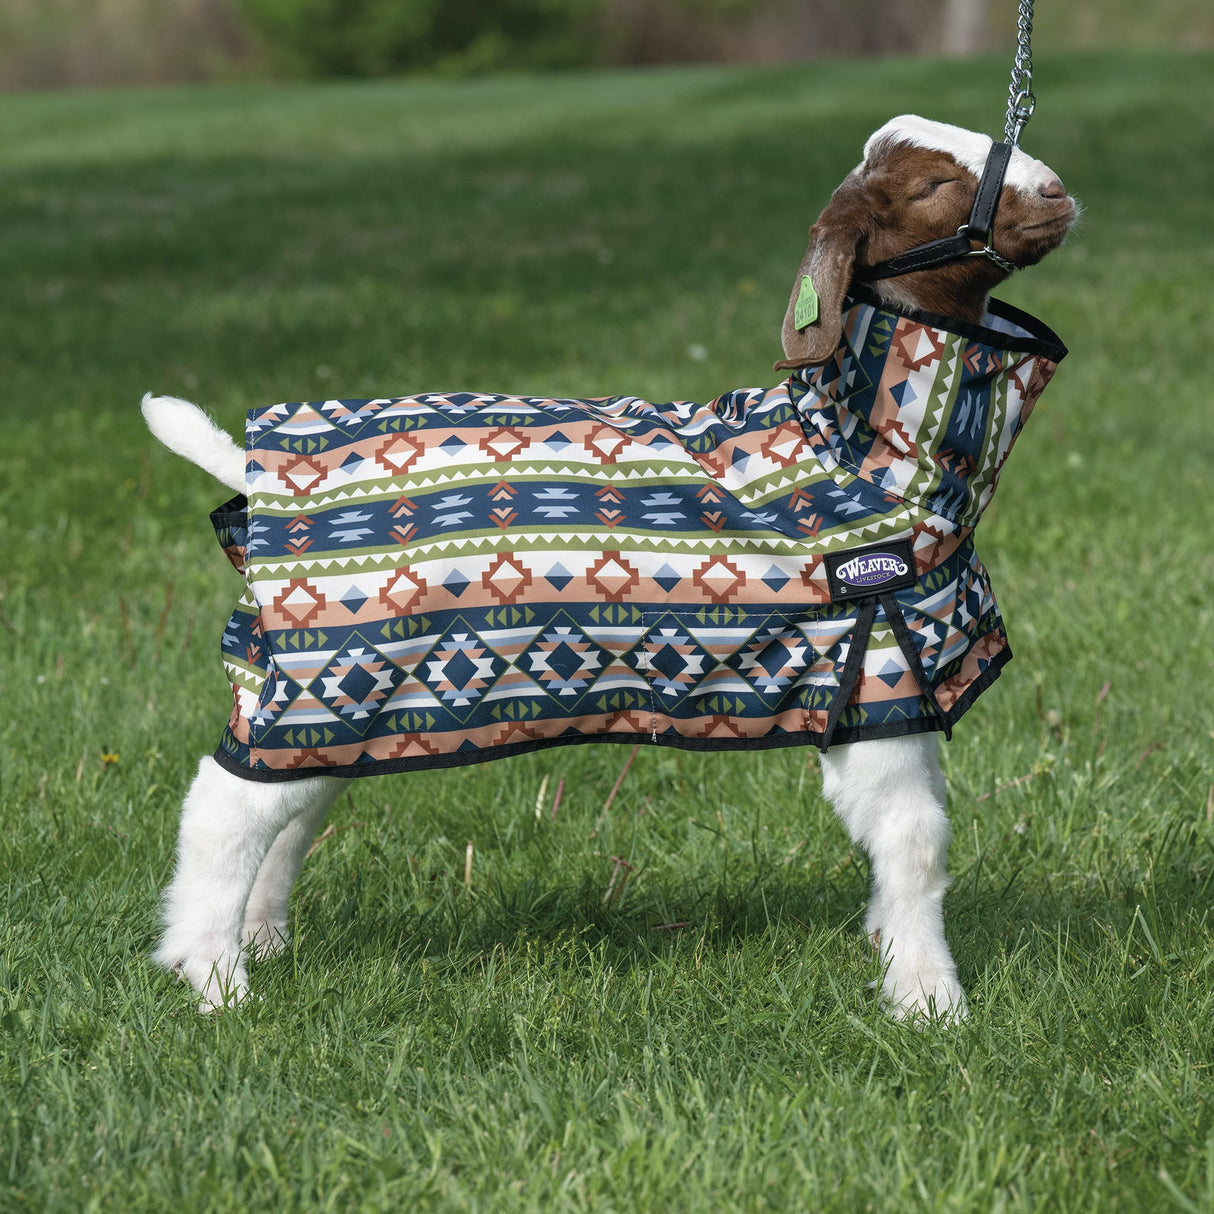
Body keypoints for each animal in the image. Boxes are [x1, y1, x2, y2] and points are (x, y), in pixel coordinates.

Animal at [143, 115, 1077, 1021]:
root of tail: (248, 464)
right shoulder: (871, 658)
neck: (854, 446)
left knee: (287, 806)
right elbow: (917, 843)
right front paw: (931, 1002)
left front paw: (889, 953)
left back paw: (261, 937)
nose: (1058, 191)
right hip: (329, 672)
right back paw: (213, 977)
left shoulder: (899, 686)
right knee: (224, 810)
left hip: (325, 693)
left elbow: (914, 840)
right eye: (929, 186)